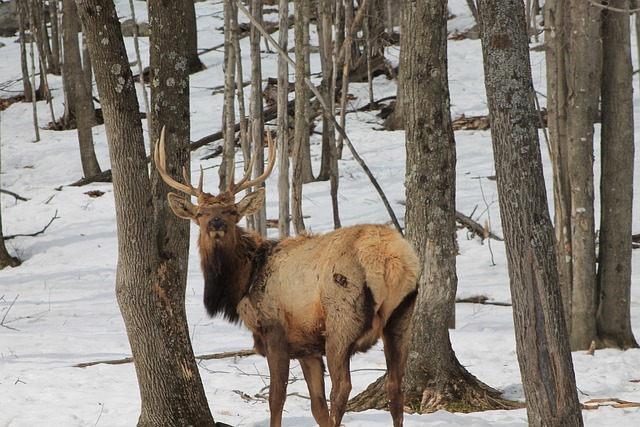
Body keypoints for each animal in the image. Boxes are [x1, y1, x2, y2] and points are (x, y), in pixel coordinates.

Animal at [155, 129, 420, 426]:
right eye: (200, 213)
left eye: (232, 211)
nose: (216, 223)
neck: (244, 281)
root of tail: (392, 260)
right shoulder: (307, 346)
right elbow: (317, 408)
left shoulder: (275, 331)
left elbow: (276, 399)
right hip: (402, 315)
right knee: (396, 387)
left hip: (341, 318)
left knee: (342, 388)